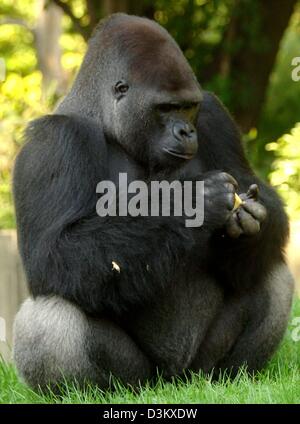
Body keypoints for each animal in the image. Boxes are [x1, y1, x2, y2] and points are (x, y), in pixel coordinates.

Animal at [13, 14, 292, 390]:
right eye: (166, 108)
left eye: (188, 107)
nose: (186, 132)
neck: (106, 122)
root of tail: (174, 381)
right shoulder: (51, 142)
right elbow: (53, 252)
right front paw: (190, 202)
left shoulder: (214, 115)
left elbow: (253, 188)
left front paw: (248, 223)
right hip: (140, 378)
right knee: (48, 315)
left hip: (198, 370)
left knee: (273, 274)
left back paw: (234, 375)